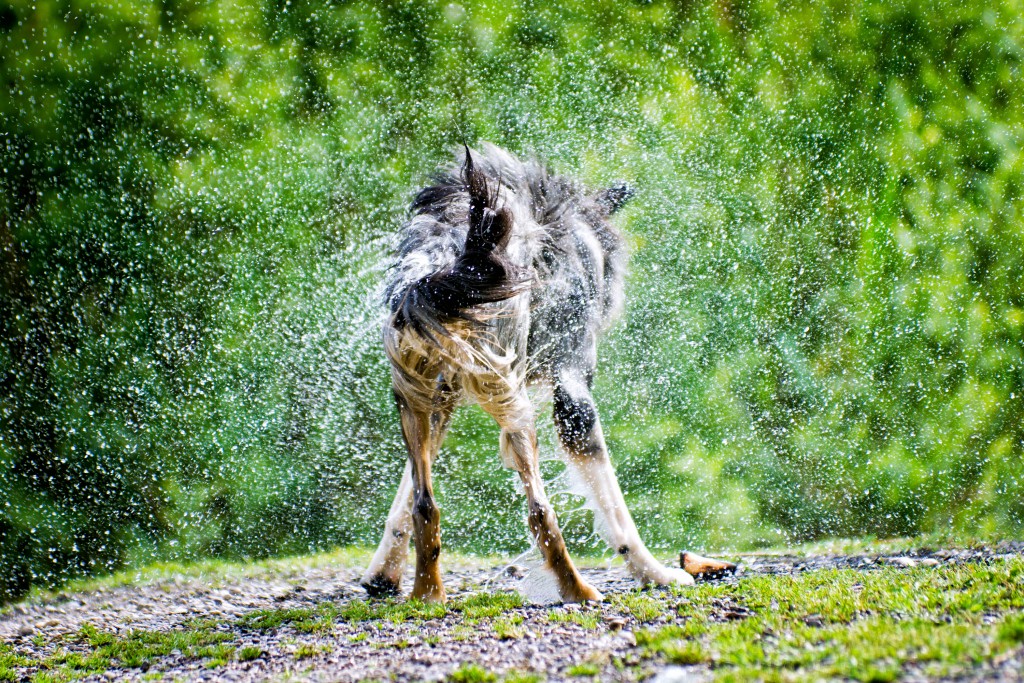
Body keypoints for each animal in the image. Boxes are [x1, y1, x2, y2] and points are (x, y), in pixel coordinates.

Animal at [358, 144, 696, 602]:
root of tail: (452, 246)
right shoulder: (573, 390)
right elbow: (615, 508)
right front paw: (655, 573)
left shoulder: (441, 394)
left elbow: (404, 499)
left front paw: (384, 572)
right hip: (515, 405)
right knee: (540, 511)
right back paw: (577, 590)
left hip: (420, 393)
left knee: (425, 504)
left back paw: (428, 592)